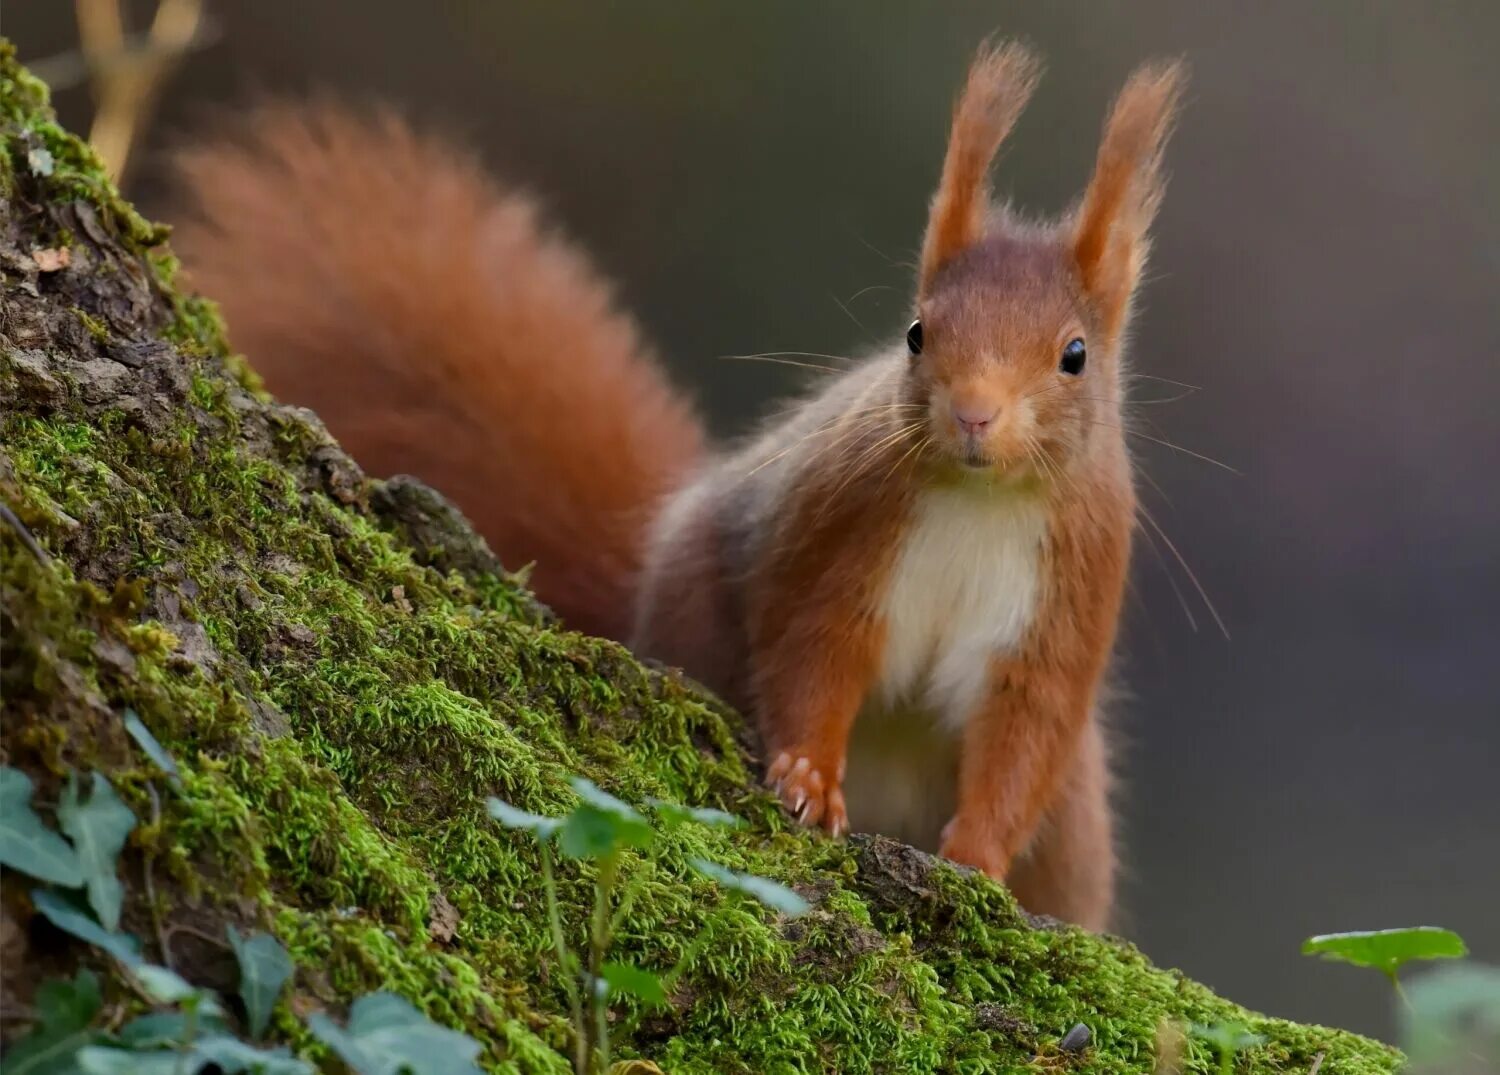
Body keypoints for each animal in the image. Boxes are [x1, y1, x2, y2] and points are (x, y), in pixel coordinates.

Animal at [170, 41, 1182, 929]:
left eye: (1075, 356)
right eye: (916, 333)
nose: (973, 415)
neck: (981, 499)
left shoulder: (1068, 597)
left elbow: (1024, 737)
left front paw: (976, 858)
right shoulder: (842, 531)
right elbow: (812, 650)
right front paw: (807, 778)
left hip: (1078, 826)